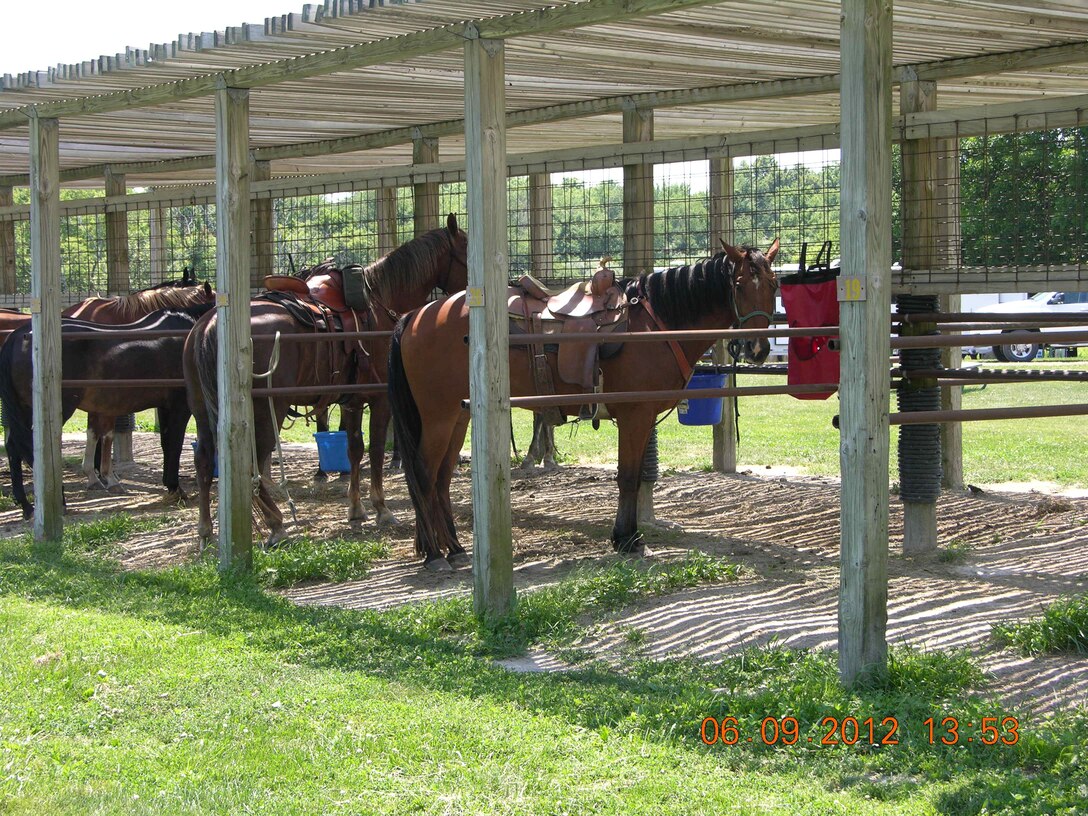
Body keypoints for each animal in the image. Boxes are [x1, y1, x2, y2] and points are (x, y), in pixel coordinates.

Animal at [187, 212, 467, 550]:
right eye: (467, 250)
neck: (378, 300)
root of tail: (210, 324)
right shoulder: (379, 398)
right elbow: (375, 449)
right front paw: (381, 508)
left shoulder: (352, 400)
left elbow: (355, 448)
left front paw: (356, 508)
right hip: (268, 410)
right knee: (252, 462)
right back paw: (276, 523)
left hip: (202, 410)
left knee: (204, 459)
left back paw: (205, 530)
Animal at [387, 239, 779, 570]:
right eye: (739, 285)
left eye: (774, 286)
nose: (758, 349)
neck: (654, 326)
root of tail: (416, 317)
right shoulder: (635, 416)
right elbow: (628, 478)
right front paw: (628, 540)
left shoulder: (641, 418)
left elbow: (631, 476)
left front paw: (627, 537)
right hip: (438, 416)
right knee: (423, 473)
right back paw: (435, 554)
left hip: (458, 415)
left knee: (441, 477)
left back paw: (454, 548)